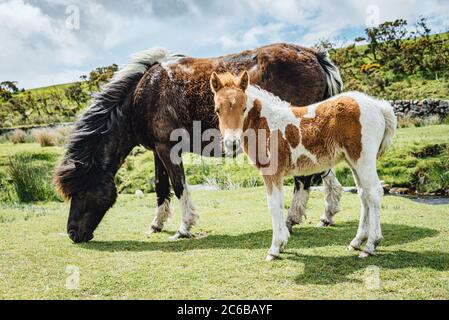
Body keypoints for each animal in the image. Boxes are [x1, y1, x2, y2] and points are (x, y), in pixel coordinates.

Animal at [210, 70, 396, 260]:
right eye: (218, 110)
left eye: (243, 108)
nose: (232, 143)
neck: (265, 124)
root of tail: (377, 106)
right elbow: (279, 204)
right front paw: (282, 243)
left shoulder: (271, 172)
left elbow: (274, 206)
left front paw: (274, 249)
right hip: (354, 162)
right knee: (364, 195)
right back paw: (356, 242)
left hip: (363, 160)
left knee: (373, 193)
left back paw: (371, 245)